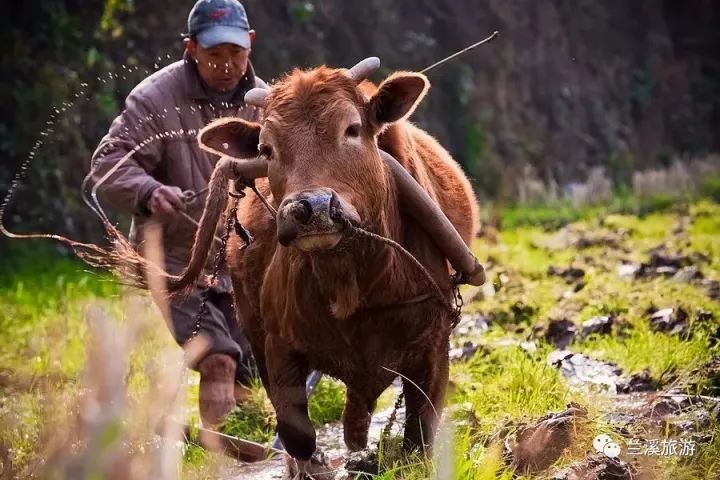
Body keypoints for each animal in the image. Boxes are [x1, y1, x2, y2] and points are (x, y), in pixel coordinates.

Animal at [176, 58, 478, 474]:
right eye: (266, 148)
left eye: (351, 129)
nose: (312, 209)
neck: (354, 280)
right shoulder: (277, 348)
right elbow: (297, 433)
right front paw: (313, 466)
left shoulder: (432, 346)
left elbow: (419, 438)